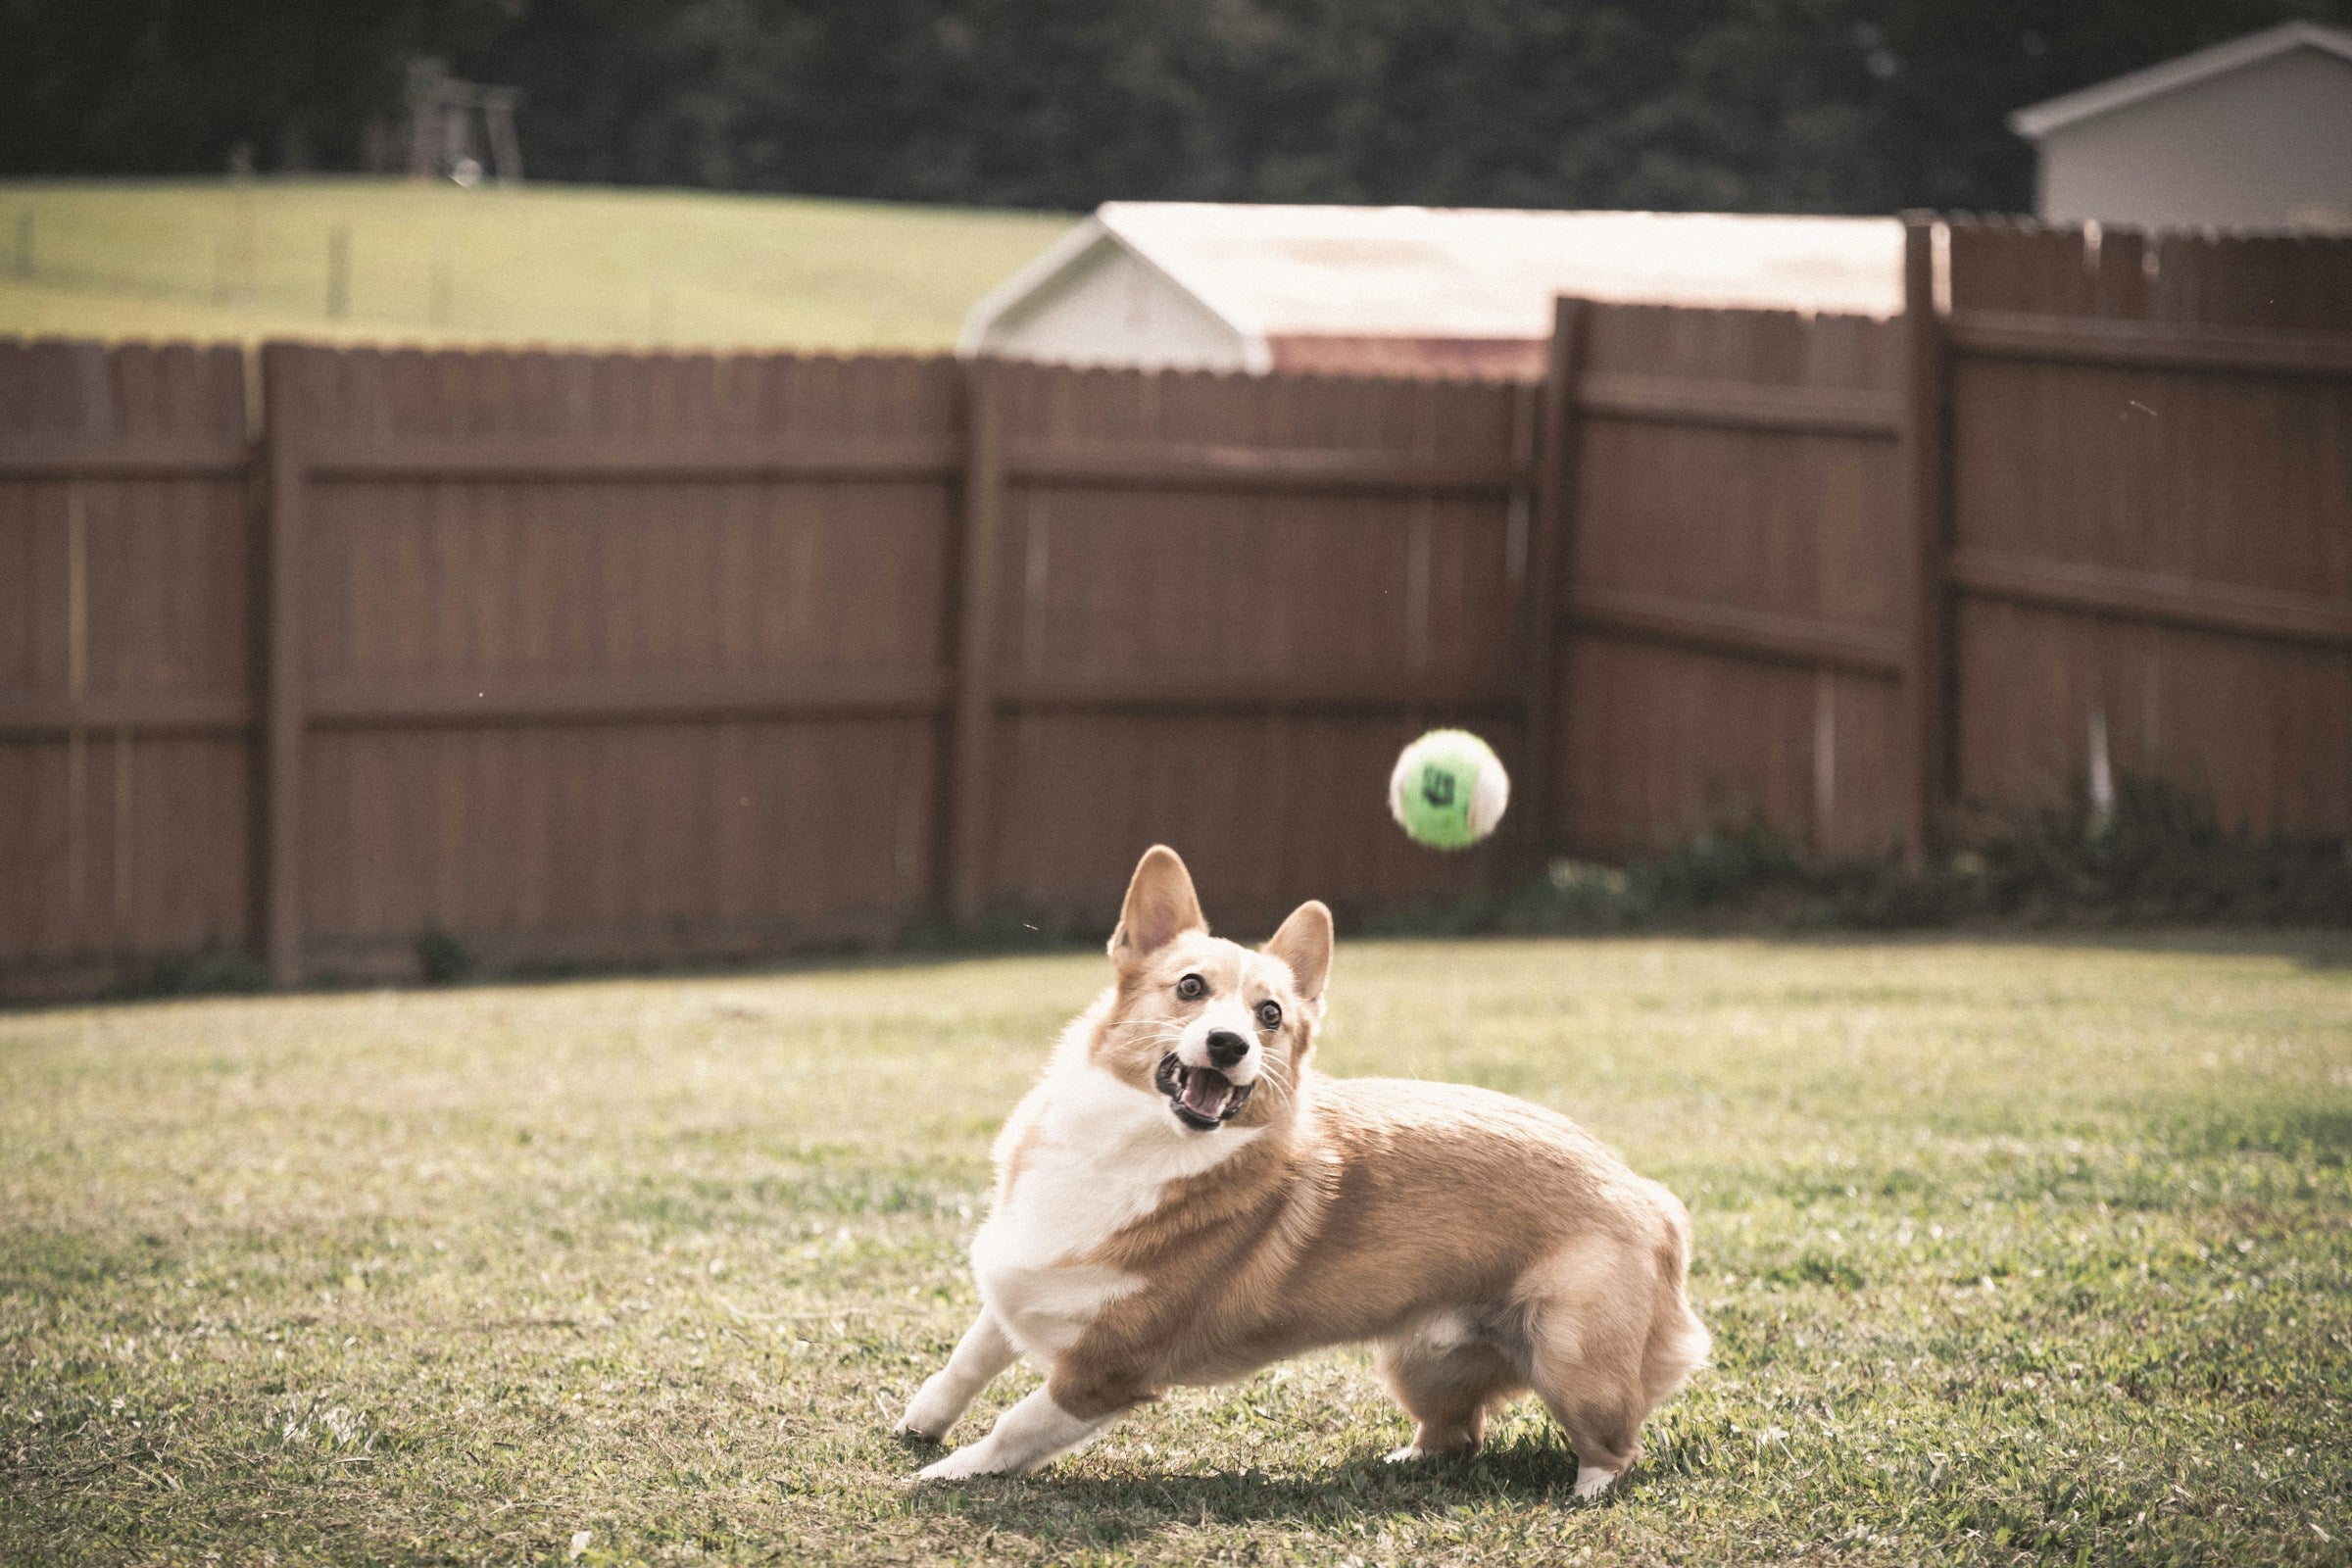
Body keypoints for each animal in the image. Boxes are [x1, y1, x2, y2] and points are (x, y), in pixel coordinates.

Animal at [898, 846, 1712, 1494]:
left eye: (1270, 1017)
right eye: (1189, 987)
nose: (1228, 1045)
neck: (1133, 1145)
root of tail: (1648, 1192)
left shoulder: (1105, 1370)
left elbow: (1015, 1425)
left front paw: (947, 1473)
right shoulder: (1020, 1282)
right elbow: (967, 1360)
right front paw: (921, 1425)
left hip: (1574, 1362)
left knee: (1615, 1444)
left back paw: (1585, 1495)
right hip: (1420, 1362)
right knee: (1457, 1435)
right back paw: (1402, 1464)